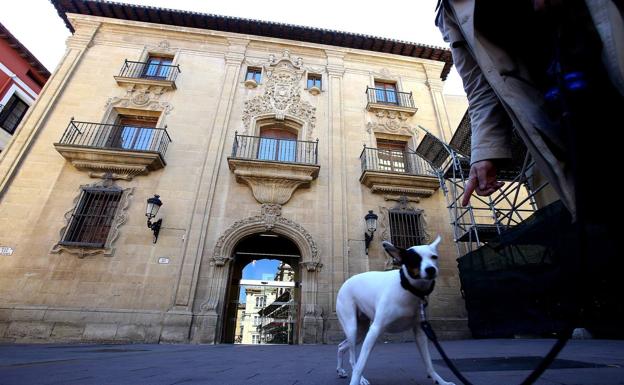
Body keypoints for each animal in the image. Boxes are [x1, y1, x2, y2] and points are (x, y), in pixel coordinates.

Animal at [336, 236, 454, 384]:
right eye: (414, 259)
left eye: (434, 257)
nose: (431, 269)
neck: (407, 288)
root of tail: (346, 282)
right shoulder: (374, 331)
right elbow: (360, 366)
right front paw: (356, 380)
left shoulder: (420, 333)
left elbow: (429, 363)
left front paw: (440, 381)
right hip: (352, 328)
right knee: (353, 358)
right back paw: (361, 379)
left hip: (360, 332)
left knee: (341, 346)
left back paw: (340, 371)